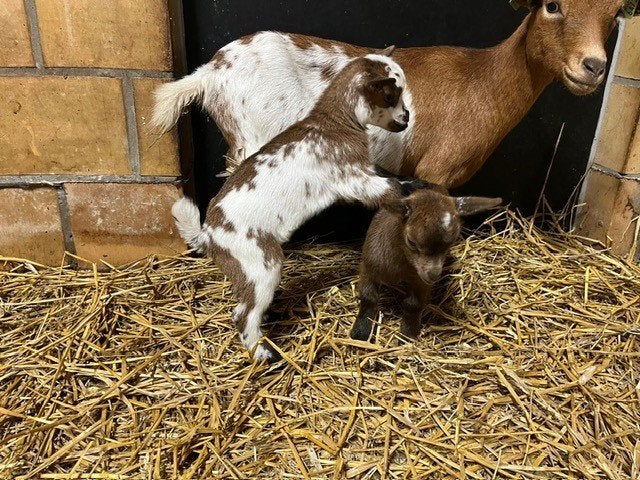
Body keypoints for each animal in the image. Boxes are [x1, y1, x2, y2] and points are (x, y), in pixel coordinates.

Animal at [152, 0, 636, 189]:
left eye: (616, 13)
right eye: (552, 5)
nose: (593, 66)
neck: (482, 78)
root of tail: (210, 74)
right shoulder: (437, 171)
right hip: (254, 135)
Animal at [171, 53, 425, 362]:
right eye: (391, 96)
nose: (406, 118)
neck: (334, 122)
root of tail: (208, 235)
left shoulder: (363, 168)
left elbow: (389, 176)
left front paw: (416, 183)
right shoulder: (350, 177)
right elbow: (388, 188)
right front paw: (409, 199)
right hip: (259, 263)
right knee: (242, 314)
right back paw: (264, 354)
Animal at [350, 188, 502, 342]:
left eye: (452, 241)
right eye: (411, 241)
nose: (433, 275)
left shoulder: (420, 281)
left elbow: (413, 303)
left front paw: (408, 334)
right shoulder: (368, 268)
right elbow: (368, 297)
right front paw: (360, 332)